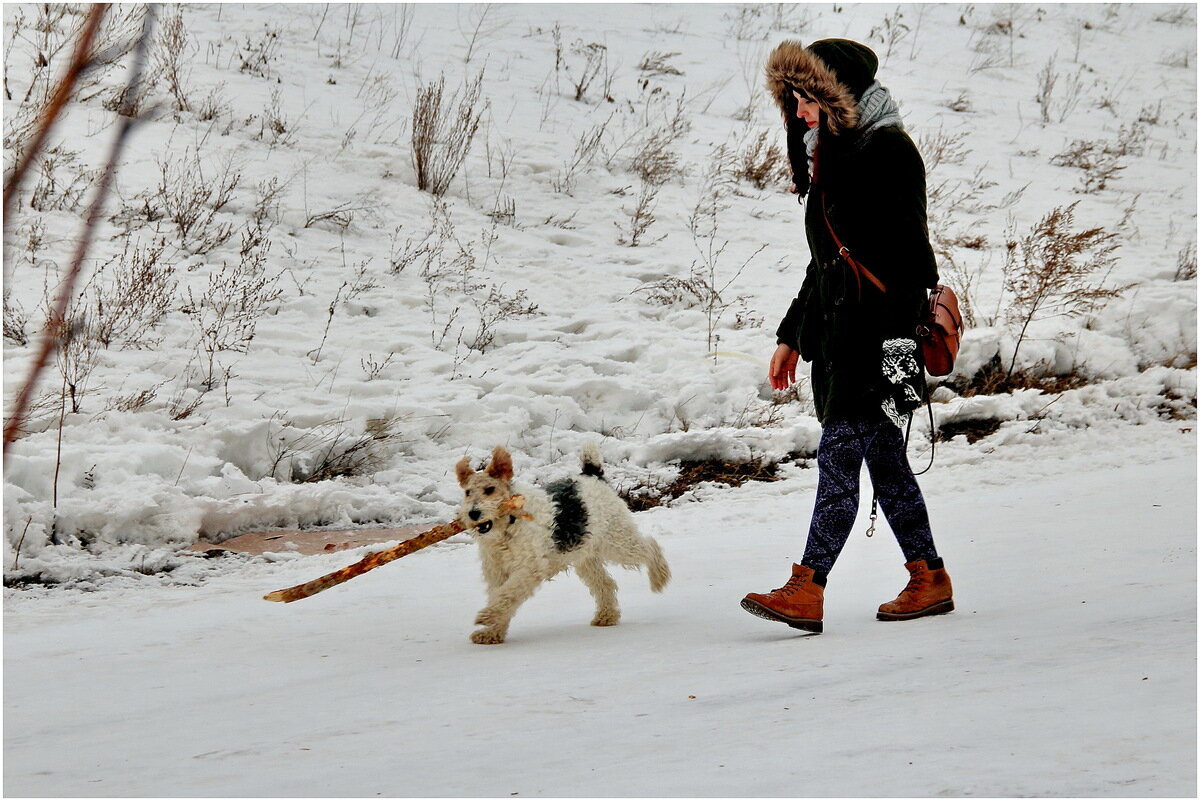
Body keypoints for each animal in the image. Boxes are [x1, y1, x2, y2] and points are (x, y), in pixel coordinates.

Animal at [453, 443, 672, 642]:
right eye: (467, 492)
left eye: (489, 489)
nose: (473, 513)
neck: (509, 526)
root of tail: (592, 475)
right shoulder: (497, 573)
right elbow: (501, 597)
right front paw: (491, 633)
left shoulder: (529, 569)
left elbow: (507, 595)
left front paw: (487, 616)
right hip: (586, 555)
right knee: (606, 584)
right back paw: (606, 616)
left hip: (617, 542)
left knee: (651, 547)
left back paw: (659, 578)